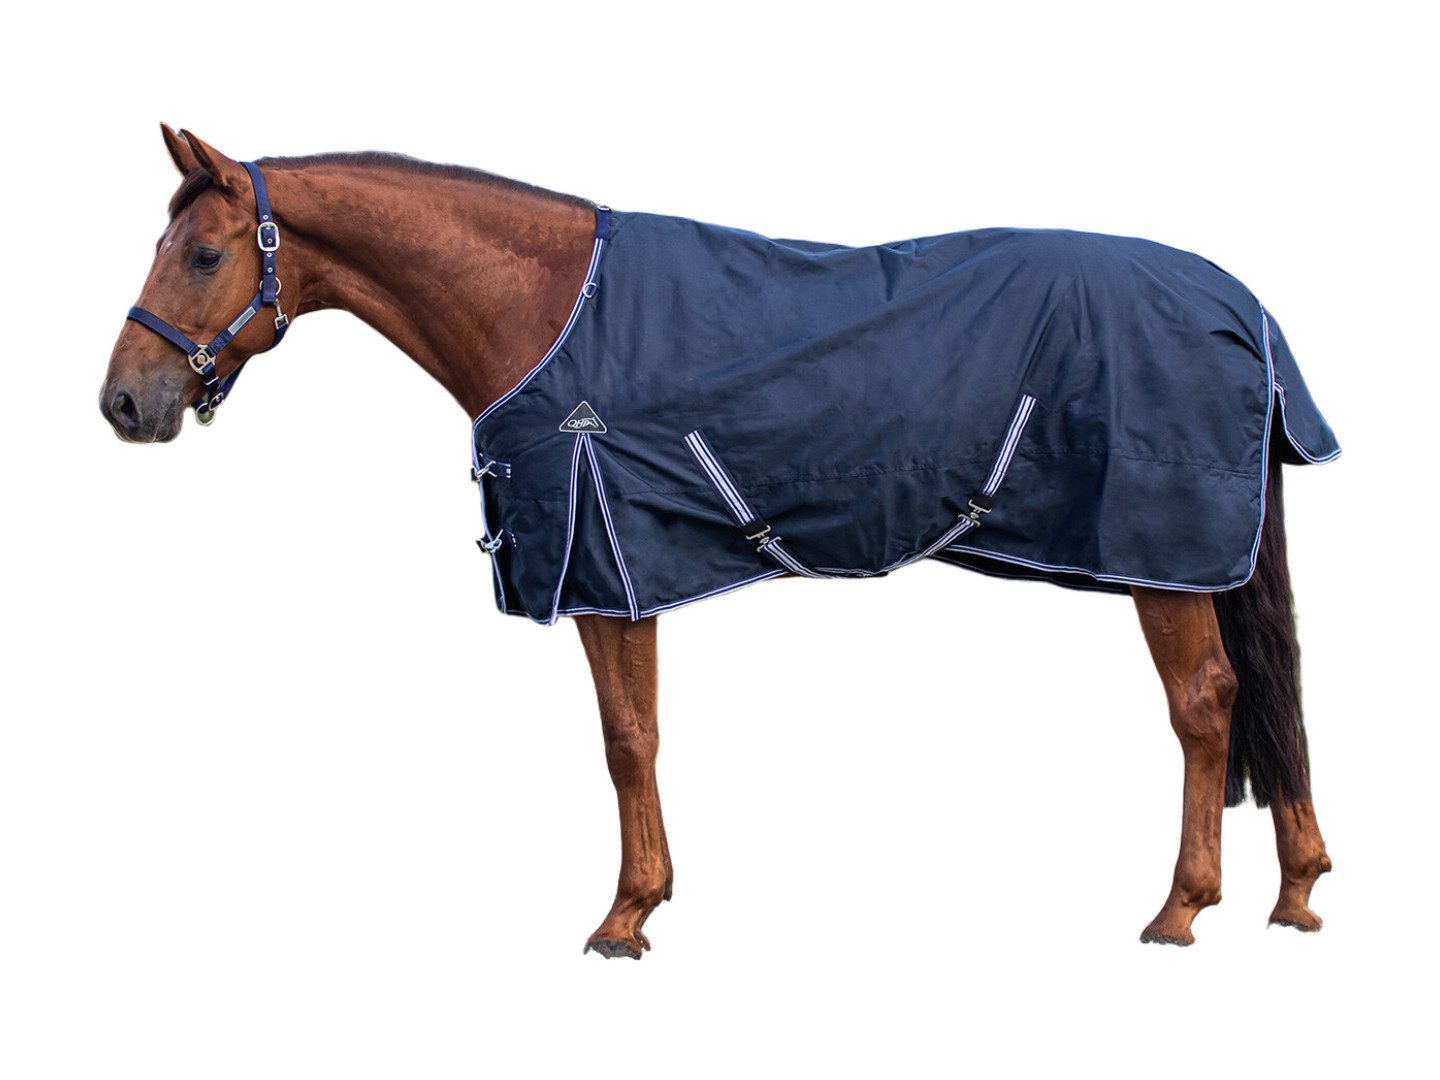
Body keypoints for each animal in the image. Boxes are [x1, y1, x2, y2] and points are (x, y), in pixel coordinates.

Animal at [100, 125, 1335, 958]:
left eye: (202, 255)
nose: (123, 402)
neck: (544, 309)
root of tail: (1241, 306)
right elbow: (633, 737)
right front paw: (643, 900)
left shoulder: (606, 562)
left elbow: (627, 738)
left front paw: (625, 914)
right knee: (1269, 697)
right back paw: (1297, 890)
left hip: (1161, 556)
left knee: (1208, 704)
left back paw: (1182, 907)